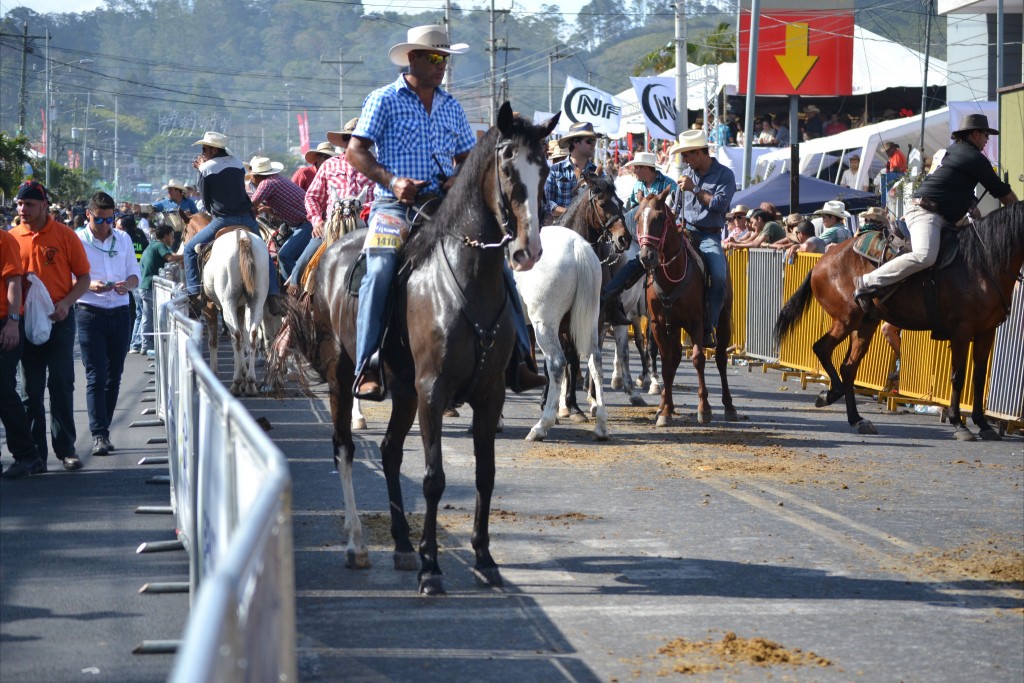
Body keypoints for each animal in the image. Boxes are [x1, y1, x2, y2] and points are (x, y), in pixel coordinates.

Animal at [201, 228, 268, 395]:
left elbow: (213, 340)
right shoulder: (241, 306)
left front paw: (213, 373)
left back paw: (237, 383)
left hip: (228, 302)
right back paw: (250, 382)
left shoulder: (209, 307)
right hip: (257, 299)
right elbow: (244, 338)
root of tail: (243, 237)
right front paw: (244, 372)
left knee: (236, 335)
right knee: (252, 334)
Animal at [276, 104, 557, 593]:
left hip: (404, 391)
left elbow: (485, 474)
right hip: (342, 377)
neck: (466, 276)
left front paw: (483, 559)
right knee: (344, 449)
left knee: (389, 452)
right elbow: (433, 478)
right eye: (506, 167)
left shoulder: (488, 395)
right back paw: (358, 544)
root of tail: (329, 254)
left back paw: (403, 545)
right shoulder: (433, 391)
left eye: (543, 169)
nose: (528, 250)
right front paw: (432, 568)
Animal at [516, 224, 602, 438]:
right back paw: (601, 426)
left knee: (556, 364)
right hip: (591, 321)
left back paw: (542, 425)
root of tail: (576, 244)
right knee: (594, 361)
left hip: (544, 324)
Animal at [630, 188, 737, 428]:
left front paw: (704, 408)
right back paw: (663, 405)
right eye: (637, 218)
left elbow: (698, 359)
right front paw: (665, 411)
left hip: (723, 320)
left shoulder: (696, 322)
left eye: (659, 218)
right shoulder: (658, 325)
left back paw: (729, 406)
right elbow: (667, 365)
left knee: (721, 360)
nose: (647, 256)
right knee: (675, 358)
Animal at [770, 201, 1019, 444]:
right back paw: (832, 394)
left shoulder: (986, 332)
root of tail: (821, 263)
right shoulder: (961, 331)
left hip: (866, 323)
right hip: (846, 320)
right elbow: (958, 377)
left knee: (848, 367)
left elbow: (979, 378)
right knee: (822, 349)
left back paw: (857, 419)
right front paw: (959, 424)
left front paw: (983, 424)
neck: (981, 263)